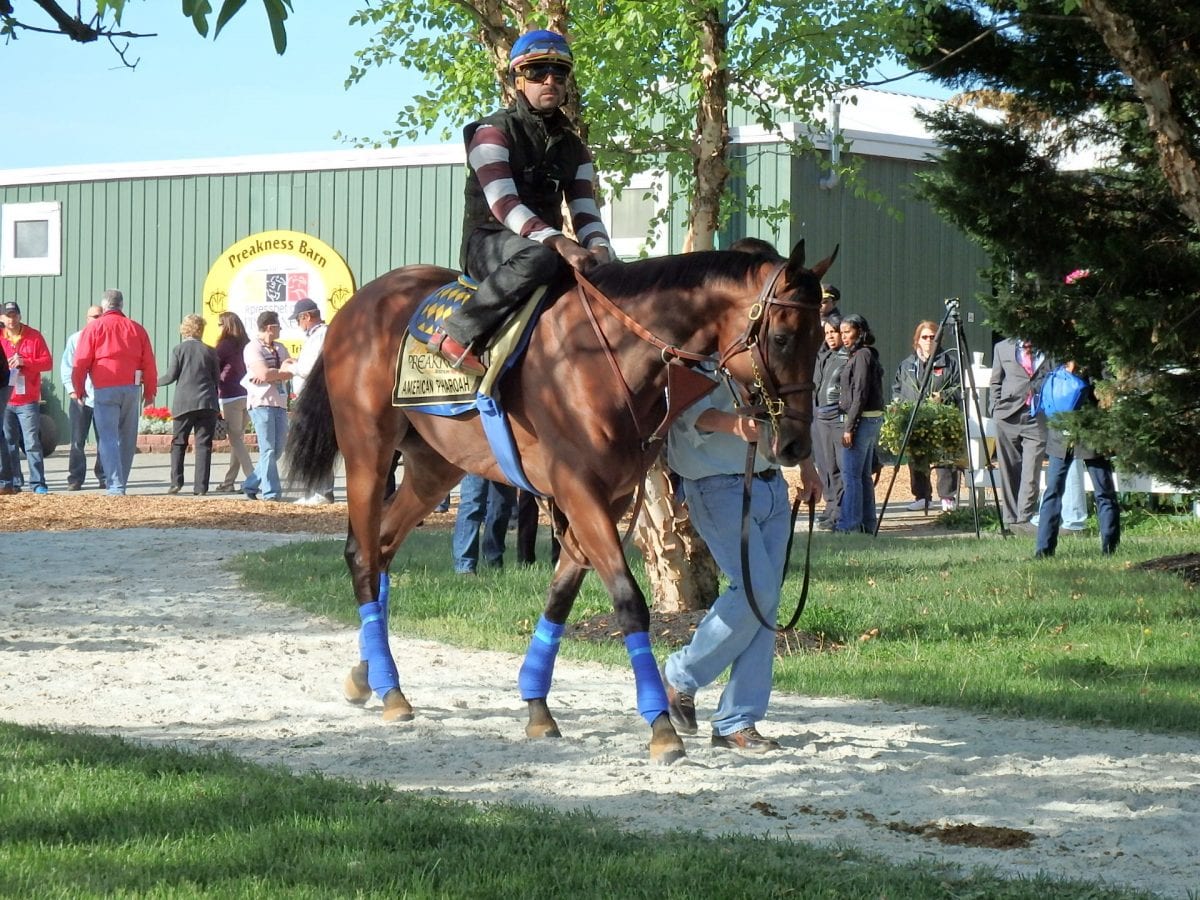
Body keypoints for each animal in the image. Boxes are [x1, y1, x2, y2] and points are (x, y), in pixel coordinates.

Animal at [289, 237, 835, 763]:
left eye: (819, 343)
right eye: (782, 338)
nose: (795, 445)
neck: (606, 357)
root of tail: (360, 302)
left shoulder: (608, 498)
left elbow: (561, 594)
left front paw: (536, 705)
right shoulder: (579, 491)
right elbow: (628, 601)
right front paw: (660, 727)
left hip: (433, 467)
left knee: (382, 549)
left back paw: (368, 676)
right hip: (368, 449)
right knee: (362, 555)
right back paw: (389, 687)